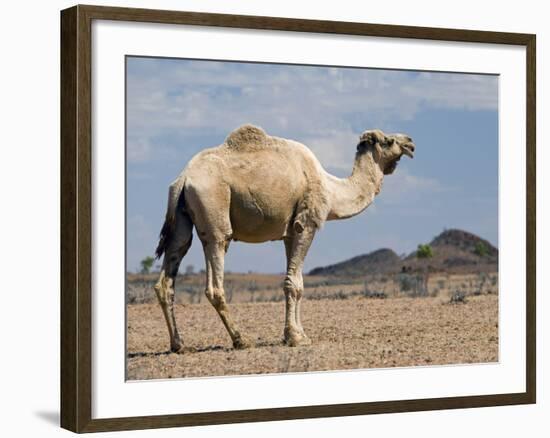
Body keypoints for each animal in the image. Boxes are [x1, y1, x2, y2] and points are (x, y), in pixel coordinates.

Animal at [153, 124, 416, 352]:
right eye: (389, 140)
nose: (410, 143)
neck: (331, 189)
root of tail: (183, 179)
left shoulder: (290, 233)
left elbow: (296, 282)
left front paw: (297, 334)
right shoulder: (306, 224)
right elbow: (294, 284)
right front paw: (296, 338)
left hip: (182, 218)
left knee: (170, 271)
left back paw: (179, 345)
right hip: (214, 211)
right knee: (215, 277)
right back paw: (241, 339)